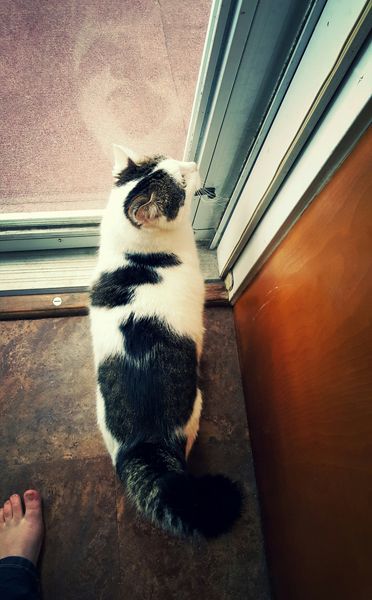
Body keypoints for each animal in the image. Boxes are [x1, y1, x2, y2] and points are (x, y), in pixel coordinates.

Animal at [89, 146, 241, 540]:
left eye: (178, 163)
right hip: (194, 406)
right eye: (183, 183)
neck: (138, 256)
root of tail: (145, 443)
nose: (194, 164)